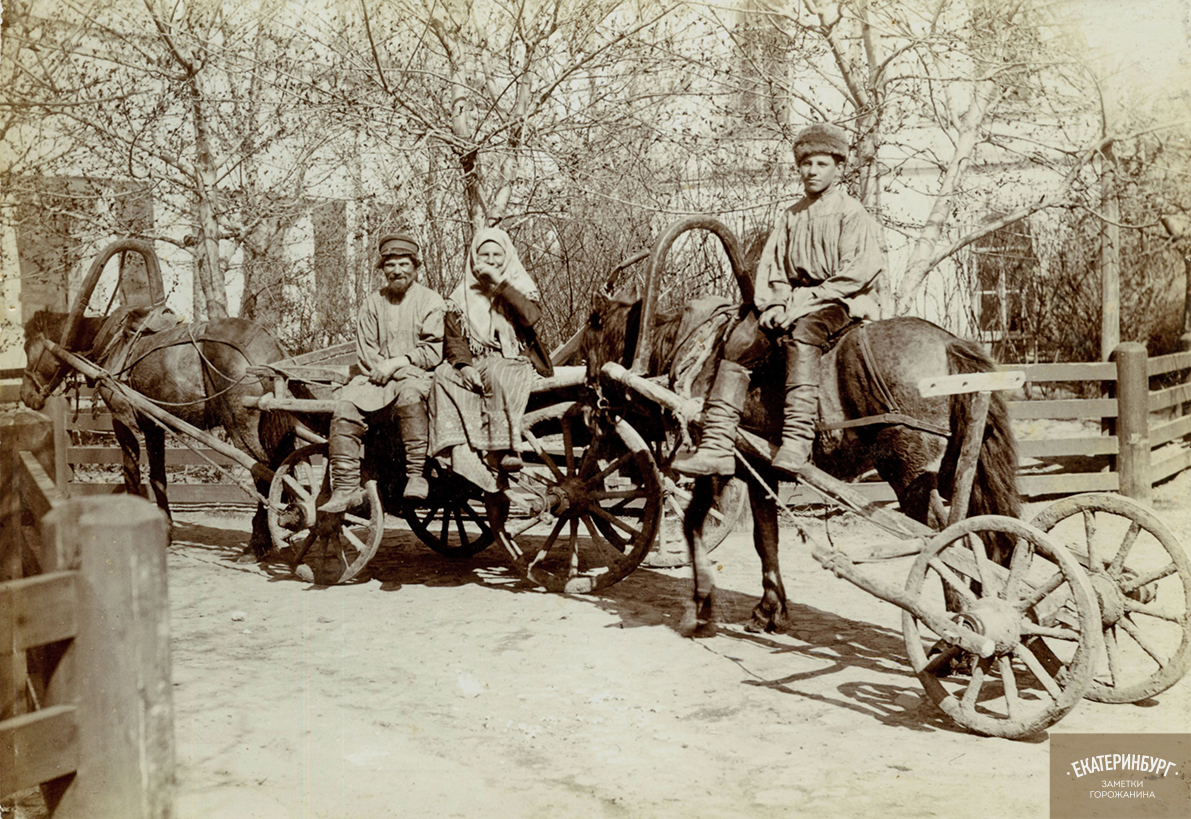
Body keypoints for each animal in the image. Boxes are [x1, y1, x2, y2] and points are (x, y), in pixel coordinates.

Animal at [22, 309, 295, 559]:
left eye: (27, 348)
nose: (26, 396)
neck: (113, 344)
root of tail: (267, 346)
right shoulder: (154, 426)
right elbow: (158, 478)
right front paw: (166, 530)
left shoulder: (123, 421)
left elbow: (131, 474)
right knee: (285, 468)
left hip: (241, 429)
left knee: (264, 473)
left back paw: (256, 544)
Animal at [581, 291, 1019, 638]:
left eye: (590, 339)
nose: (588, 412)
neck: (695, 353)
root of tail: (949, 343)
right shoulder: (759, 473)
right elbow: (766, 540)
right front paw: (769, 610)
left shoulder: (720, 467)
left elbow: (694, 526)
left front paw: (701, 608)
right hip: (957, 474)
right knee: (987, 540)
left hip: (911, 479)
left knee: (948, 545)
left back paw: (960, 634)